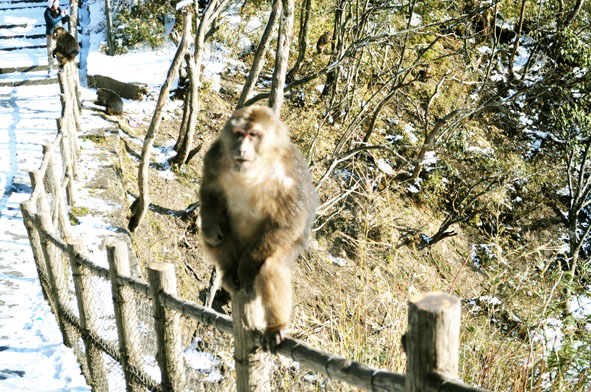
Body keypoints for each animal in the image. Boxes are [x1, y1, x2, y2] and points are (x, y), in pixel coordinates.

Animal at [199, 105, 316, 352]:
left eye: (253, 135)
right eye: (238, 133)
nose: (241, 148)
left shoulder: (292, 176)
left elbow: (287, 222)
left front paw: (247, 267)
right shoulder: (216, 155)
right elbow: (210, 191)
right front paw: (212, 230)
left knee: (271, 264)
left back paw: (275, 326)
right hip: (234, 245)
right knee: (213, 233)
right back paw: (227, 271)